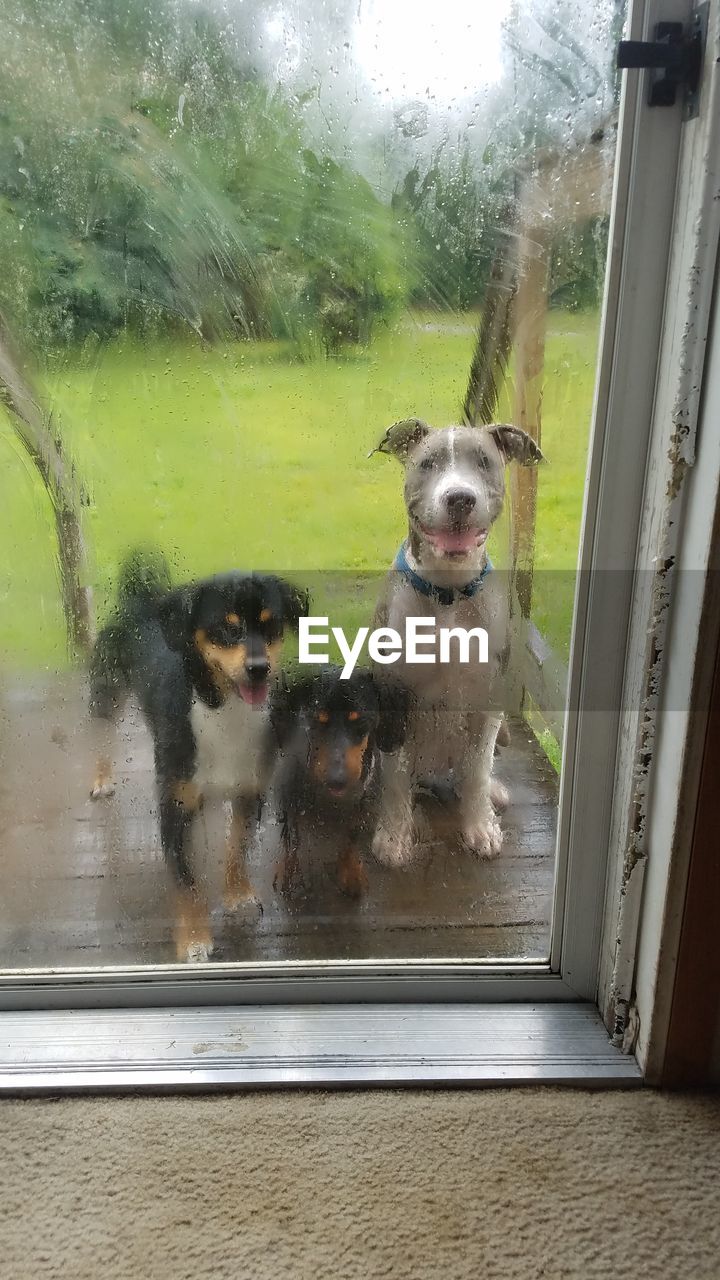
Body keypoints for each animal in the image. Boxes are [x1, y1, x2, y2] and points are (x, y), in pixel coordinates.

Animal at [88, 550, 303, 962]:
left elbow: (237, 849)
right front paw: (193, 940)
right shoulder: (175, 806)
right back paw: (101, 779)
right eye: (227, 629)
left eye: (272, 625)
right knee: (102, 739)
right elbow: (186, 882)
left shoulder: (249, 792)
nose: (258, 669)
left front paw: (238, 896)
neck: (223, 711)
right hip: (105, 694)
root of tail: (137, 600)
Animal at [269, 665, 409, 906]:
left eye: (360, 721)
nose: (337, 779)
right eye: (318, 720)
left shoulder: (362, 804)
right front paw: (289, 871)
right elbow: (292, 839)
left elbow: (351, 837)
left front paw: (351, 872)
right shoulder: (290, 797)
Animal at [368, 424, 538, 865]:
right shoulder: (394, 698)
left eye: (484, 462)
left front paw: (480, 826)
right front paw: (394, 835)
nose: (460, 497)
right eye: (428, 463)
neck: (448, 592)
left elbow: (477, 771)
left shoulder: (488, 698)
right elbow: (394, 779)